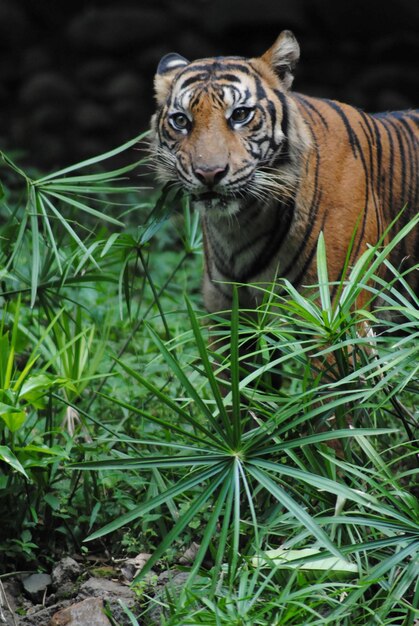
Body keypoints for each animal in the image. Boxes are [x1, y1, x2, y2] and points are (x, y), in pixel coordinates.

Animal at [152, 29, 419, 316]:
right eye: (181, 120)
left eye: (240, 115)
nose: (209, 174)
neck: (237, 227)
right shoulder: (222, 314)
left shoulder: (337, 310)